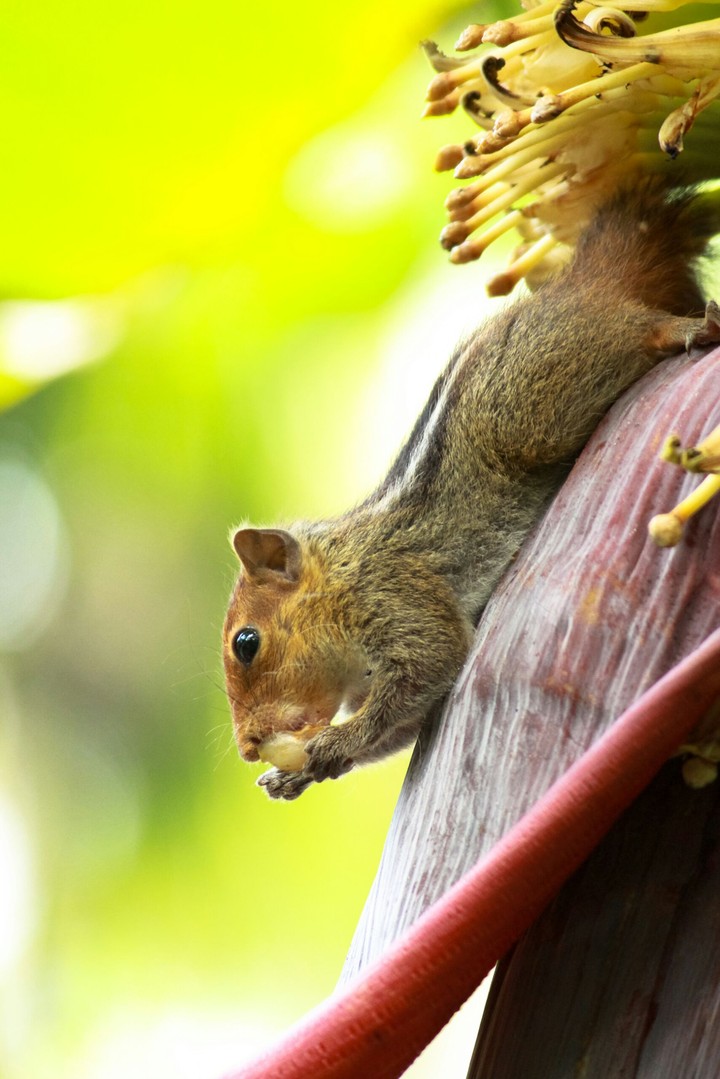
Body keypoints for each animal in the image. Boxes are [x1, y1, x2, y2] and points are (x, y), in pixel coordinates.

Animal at [223, 177, 720, 800]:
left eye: (247, 643)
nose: (247, 748)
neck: (342, 570)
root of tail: (581, 276)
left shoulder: (396, 593)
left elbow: (429, 665)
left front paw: (326, 746)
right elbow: (403, 721)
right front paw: (299, 773)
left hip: (543, 396)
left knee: (634, 328)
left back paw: (686, 328)